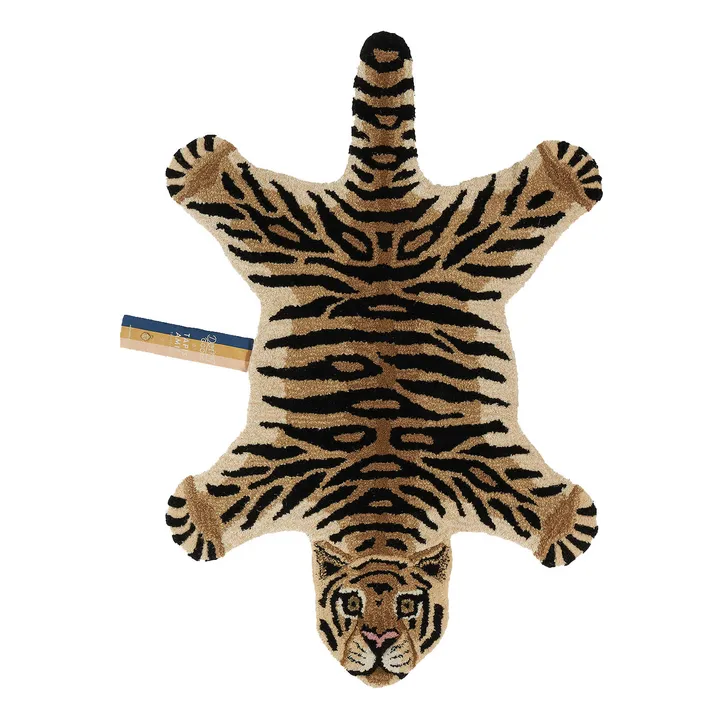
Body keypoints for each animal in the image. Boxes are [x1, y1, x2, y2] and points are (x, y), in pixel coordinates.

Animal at [163, 30, 602, 686]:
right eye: (349, 603)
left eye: (408, 605)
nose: (377, 639)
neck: (381, 507)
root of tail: (383, 203)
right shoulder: (288, 466)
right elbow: (229, 503)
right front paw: (198, 514)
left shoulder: (477, 468)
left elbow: (535, 504)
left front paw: (565, 518)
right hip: (290, 233)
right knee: (244, 193)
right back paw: (204, 168)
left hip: (473, 235)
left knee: (526, 194)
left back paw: (563, 172)